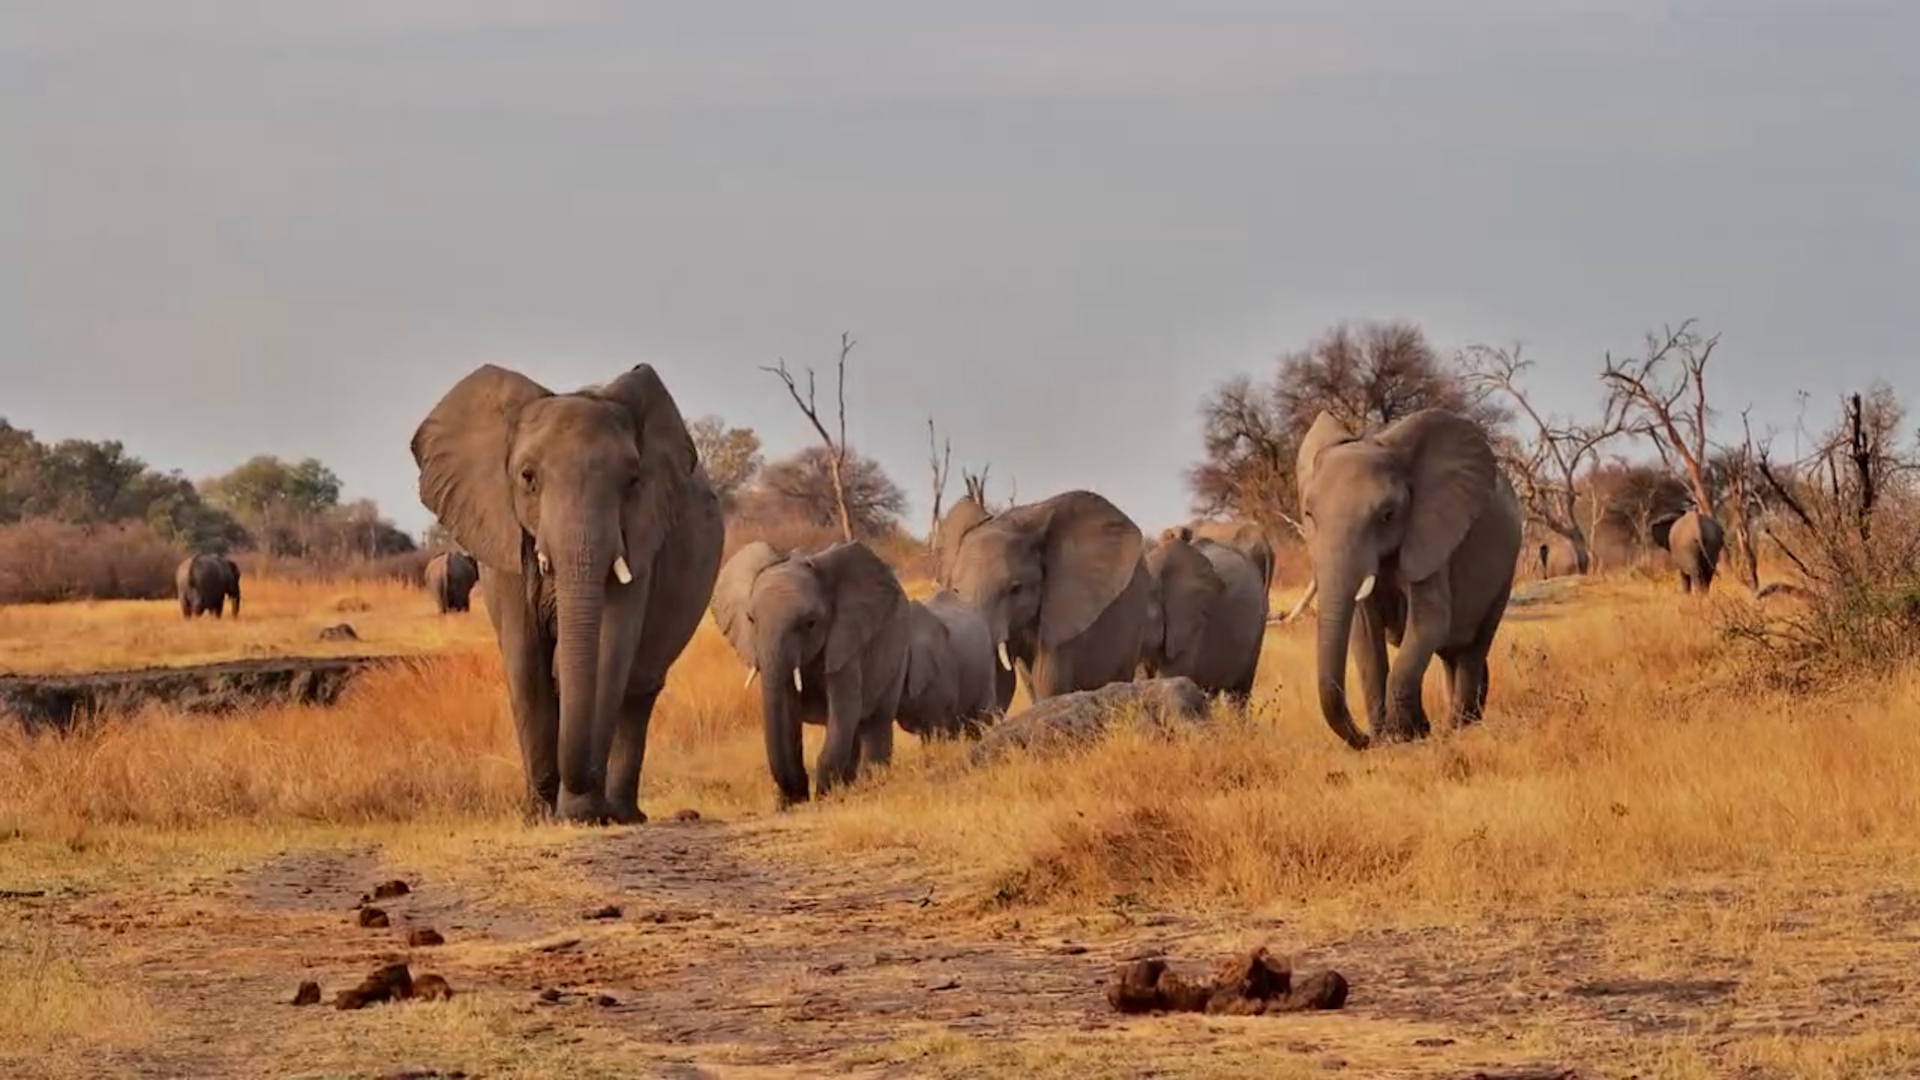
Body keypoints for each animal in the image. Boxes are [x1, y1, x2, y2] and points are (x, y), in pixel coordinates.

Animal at [410, 362, 723, 825]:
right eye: (527, 478)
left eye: (633, 481)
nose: (582, 789)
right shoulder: (504, 540)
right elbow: (526, 661)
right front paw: (544, 815)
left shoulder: (640, 537)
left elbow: (611, 650)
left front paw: (581, 812)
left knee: (638, 690)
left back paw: (624, 814)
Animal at [710, 539, 910, 807]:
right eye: (750, 619)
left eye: (811, 623)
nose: (801, 794)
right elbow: (788, 712)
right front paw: (791, 802)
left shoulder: (846, 643)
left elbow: (843, 709)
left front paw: (825, 794)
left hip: (898, 650)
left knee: (875, 722)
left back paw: (871, 782)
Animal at [1296, 408, 1523, 748]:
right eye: (1309, 515)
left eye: (1387, 515)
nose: (1362, 738)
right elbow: (1365, 633)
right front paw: (1389, 736)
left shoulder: (1431, 535)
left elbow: (1429, 621)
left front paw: (1402, 734)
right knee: (1451, 654)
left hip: (1505, 572)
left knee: (1473, 647)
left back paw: (1459, 726)